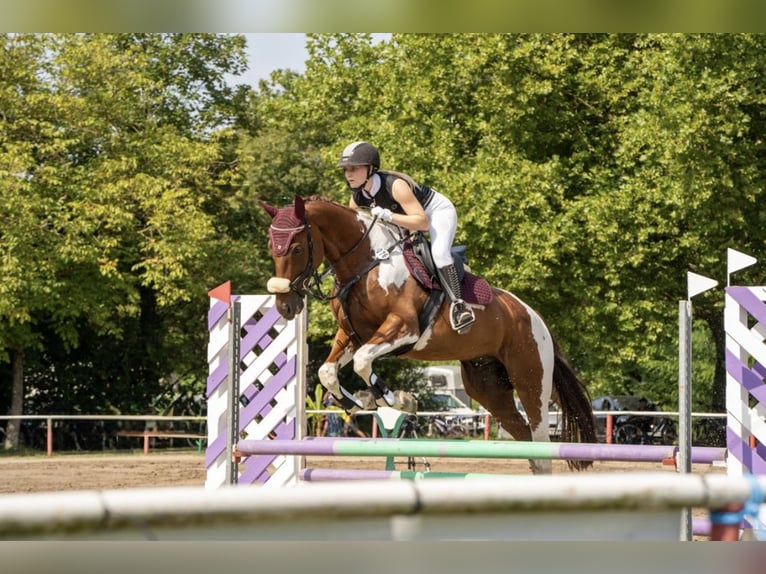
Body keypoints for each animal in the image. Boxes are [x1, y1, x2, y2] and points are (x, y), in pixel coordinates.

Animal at [260, 195, 597, 474]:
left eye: (297, 248)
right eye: (271, 247)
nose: (285, 306)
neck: (366, 264)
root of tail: (535, 317)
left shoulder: (404, 328)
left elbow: (363, 360)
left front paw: (390, 398)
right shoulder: (352, 334)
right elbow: (328, 371)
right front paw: (356, 403)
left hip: (530, 380)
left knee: (540, 440)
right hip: (488, 387)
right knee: (526, 440)